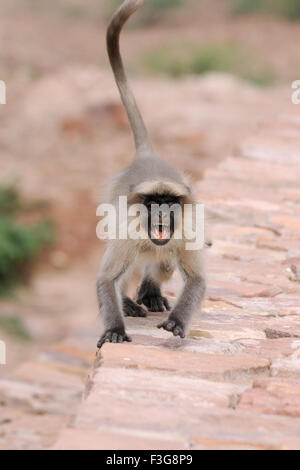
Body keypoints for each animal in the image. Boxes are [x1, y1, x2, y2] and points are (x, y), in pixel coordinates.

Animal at [96, 0, 206, 348]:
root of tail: (147, 157)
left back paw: (149, 290)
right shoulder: (125, 228)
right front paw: (115, 328)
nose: (160, 212)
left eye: (167, 203)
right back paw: (129, 301)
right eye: (153, 202)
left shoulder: (188, 227)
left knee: (166, 262)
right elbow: (106, 279)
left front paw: (177, 322)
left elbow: (196, 279)